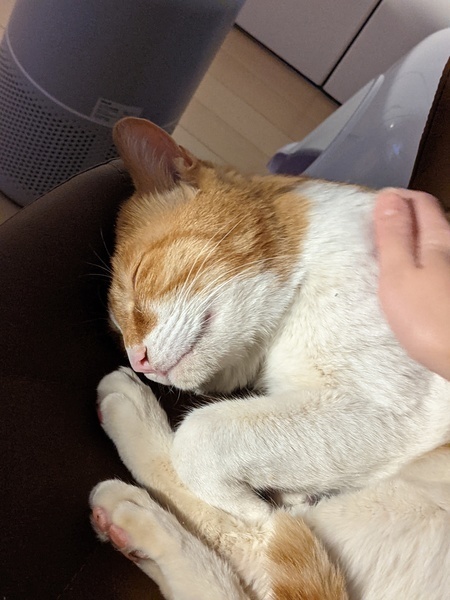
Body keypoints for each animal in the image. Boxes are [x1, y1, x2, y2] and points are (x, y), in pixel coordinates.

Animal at [90, 117, 450, 599]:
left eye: (139, 276)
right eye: (117, 330)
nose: (137, 360)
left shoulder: (383, 406)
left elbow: (200, 437)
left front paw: (253, 502)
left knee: (255, 544)